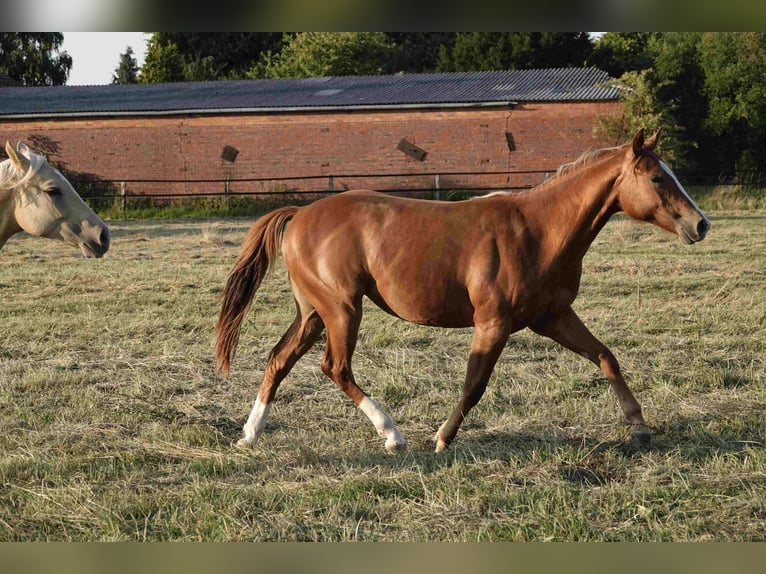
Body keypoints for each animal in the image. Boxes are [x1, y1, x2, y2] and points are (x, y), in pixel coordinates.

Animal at [215, 128, 710, 453]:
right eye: (657, 178)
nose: (701, 224)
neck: (539, 231)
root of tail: (298, 214)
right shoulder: (493, 323)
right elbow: (474, 385)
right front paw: (441, 438)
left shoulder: (553, 318)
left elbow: (607, 357)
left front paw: (639, 428)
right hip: (341, 310)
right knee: (334, 367)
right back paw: (392, 435)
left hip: (314, 312)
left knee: (279, 359)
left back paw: (250, 434)